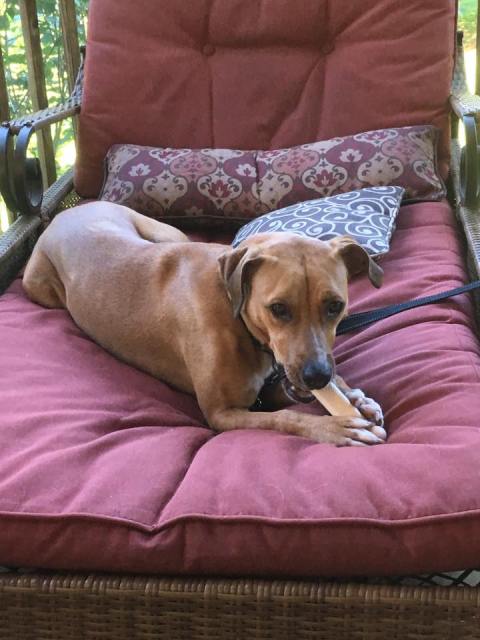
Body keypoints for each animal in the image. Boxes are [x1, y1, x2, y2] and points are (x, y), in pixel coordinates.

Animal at [23, 201, 386, 446]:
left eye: (335, 306)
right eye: (278, 309)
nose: (317, 376)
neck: (233, 308)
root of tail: (67, 212)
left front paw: (354, 397)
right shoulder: (222, 413)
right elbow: (284, 417)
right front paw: (335, 427)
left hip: (168, 234)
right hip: (38, 287)